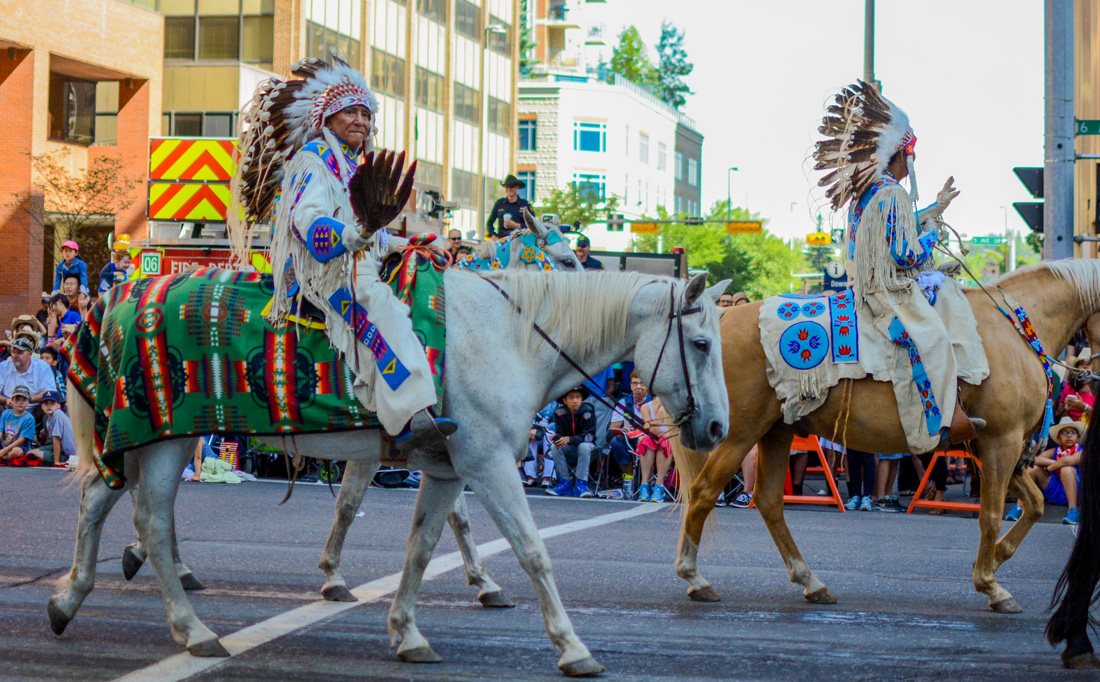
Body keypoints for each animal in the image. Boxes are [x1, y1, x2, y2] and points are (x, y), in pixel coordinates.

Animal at [53, 267, 730, 677]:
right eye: (700, 344)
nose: (719, 429)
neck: (509, 338)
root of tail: (123, 293)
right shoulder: (488, 464)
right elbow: (532, 551)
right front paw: (573, 646)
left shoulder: (449, 470)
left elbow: (423, 547)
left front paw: (407, 632)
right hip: (162, 437)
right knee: (150, 521)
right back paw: (191, 630)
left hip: (143, 438)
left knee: (97, 501)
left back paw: (69, 597)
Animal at [103, 209, 585, 607]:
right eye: (566, 260)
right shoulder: (399, 441)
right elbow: (353, 506)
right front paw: (334, 576)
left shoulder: (430, 445)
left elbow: (449, 516)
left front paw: (484, 583)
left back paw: (165, 561)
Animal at [673, 259, 1100, 611]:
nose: (1088, 377)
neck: (1013, 329)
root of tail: (723, 318)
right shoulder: (1001, 442)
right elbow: (992, 514)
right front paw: (990, 584)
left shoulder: (994, 447)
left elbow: (1034, 505)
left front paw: (994, 559)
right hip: (737, 433)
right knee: (704, 491)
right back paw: (695, 578)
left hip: (775, 431)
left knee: (769, 501)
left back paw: (810, 582)